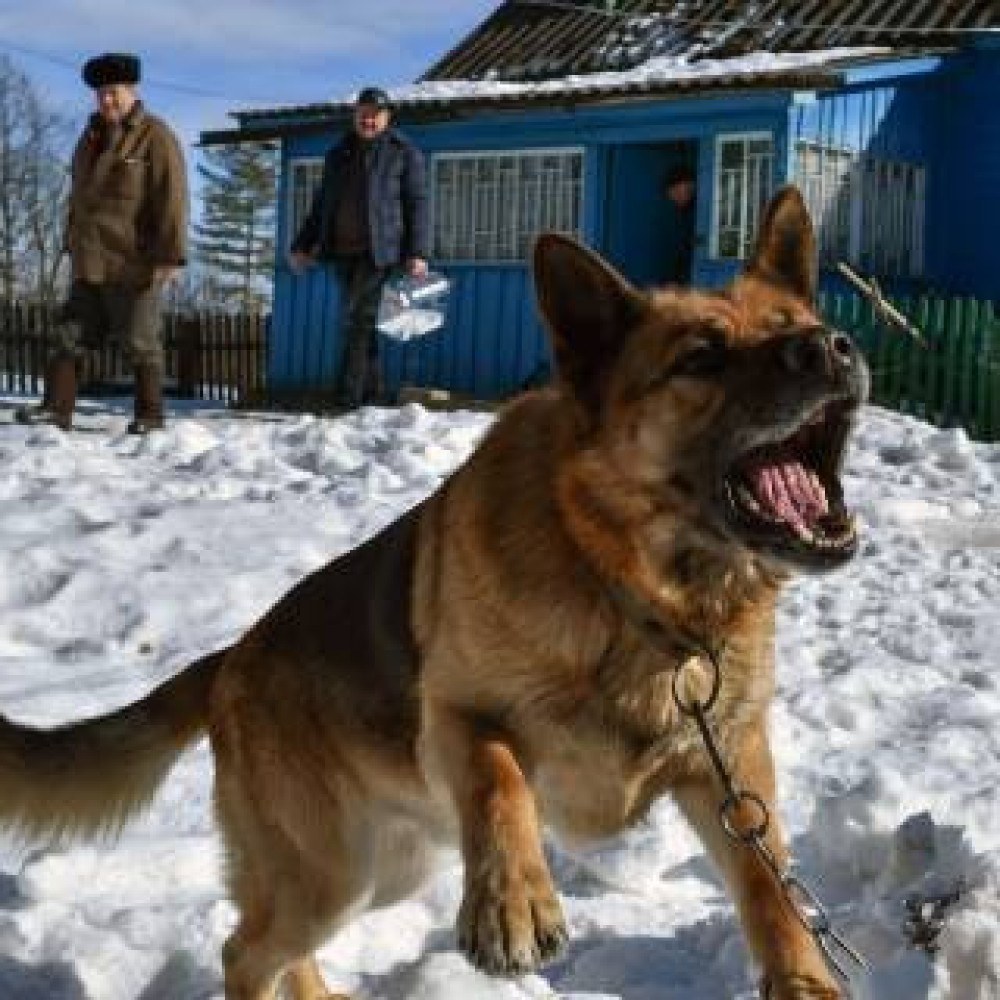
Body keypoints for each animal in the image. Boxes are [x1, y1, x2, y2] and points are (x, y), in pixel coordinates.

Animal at [0, 186, 868, 992]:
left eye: (793, 320)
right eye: (701, 357)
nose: (830, 347)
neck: (637, 594)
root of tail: (228, 661)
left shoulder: (731, 773)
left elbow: (772, 887)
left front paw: (804, 979)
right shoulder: (457, 716)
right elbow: (498, 778)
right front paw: (513, 903)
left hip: (380, 870)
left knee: (275, 948)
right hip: (330, 876)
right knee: (244, 953)